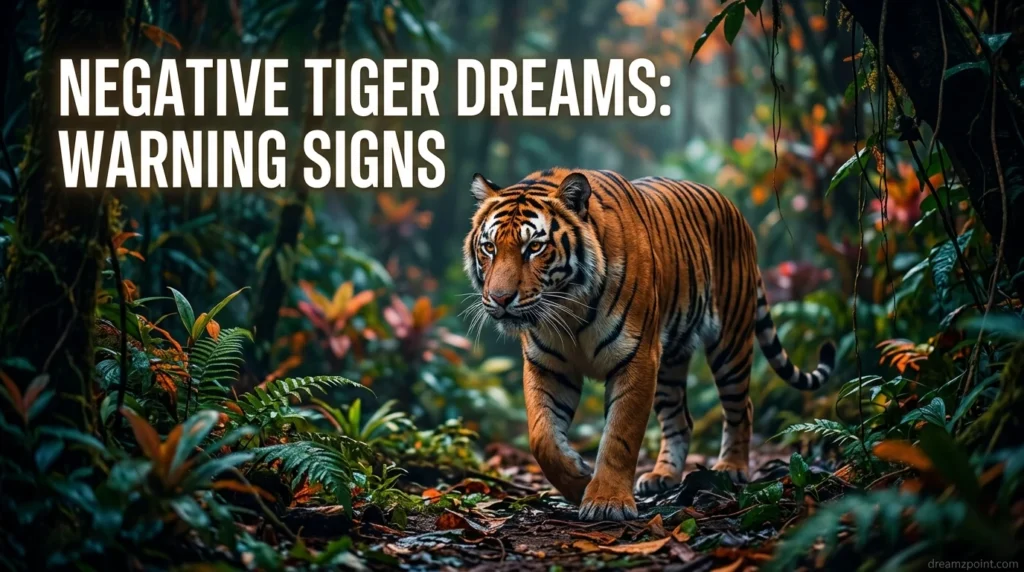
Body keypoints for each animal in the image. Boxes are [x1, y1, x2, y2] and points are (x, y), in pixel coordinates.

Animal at [463, 167, 835, 522]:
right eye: (489, 247)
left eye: (534, 248)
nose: (500, 298)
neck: (569, 308)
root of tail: (735, 211)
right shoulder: (548, 365)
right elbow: (542, 437)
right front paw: (578, 480)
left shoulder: (636, 358)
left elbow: (619, 437)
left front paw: (607, 501)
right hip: (670, 362)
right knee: (680, 420)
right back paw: (662, 476)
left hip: (731, 342)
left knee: (741, 407)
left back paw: (732, 468)